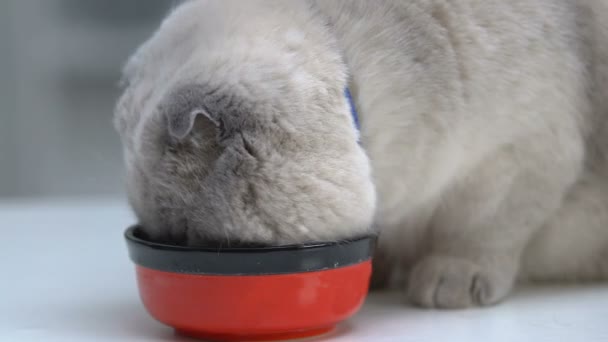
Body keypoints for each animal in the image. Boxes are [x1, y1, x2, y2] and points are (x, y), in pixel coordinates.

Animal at [114, 0, 608, 310]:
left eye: (189, 237)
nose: (177, 248)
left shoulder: (515, 160)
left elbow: (476, 233)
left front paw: (445, 285)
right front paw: (383, 275)